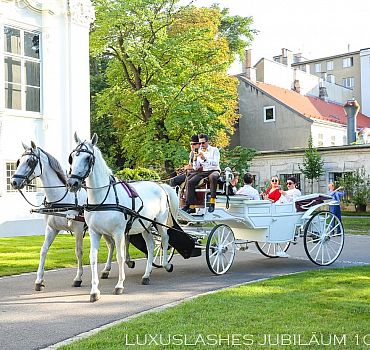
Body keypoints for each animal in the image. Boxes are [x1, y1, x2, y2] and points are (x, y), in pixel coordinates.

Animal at [11, 141, 115, 292]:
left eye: (30, 161)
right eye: (19, 161)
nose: (14, 182)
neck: (61, 199)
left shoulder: (78, 229)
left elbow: (78, 252)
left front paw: (78, 278)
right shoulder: (51, 229)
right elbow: (43, 250)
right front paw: (39, 280)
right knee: (111, 244)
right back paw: (107, 270)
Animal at [67, 133, 178, 302]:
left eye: (88, 158)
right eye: (72, 157)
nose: (72, 182)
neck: (102, 199)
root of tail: (160, 186)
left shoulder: (118, 233)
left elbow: (120, 256)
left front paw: (119, 285)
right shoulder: (94, 232)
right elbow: (93, 258)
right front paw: (94, 291)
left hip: (159, 222)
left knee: (165, 239)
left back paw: (165, 264)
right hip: (145, 226)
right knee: (151, 245)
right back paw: (147, 274)